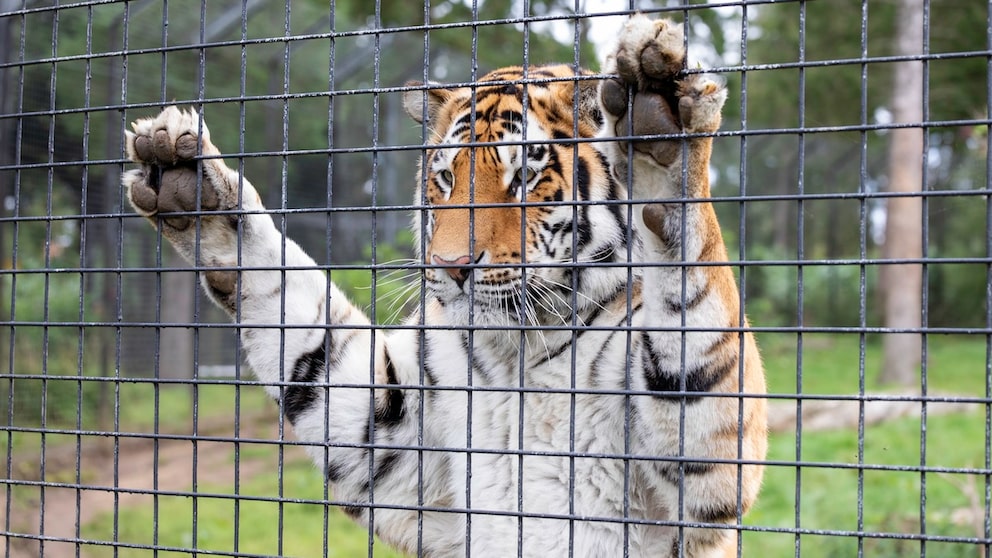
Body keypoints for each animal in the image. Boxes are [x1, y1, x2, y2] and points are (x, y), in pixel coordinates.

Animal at [122, 13, 768, 558]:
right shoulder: (390, 439)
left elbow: (693, 316)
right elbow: (301, 326)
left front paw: (661, 126)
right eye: (444, 178)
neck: (516, 353)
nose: (453, 265)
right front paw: (190, 182)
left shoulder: (703, 479)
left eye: (524, 176)